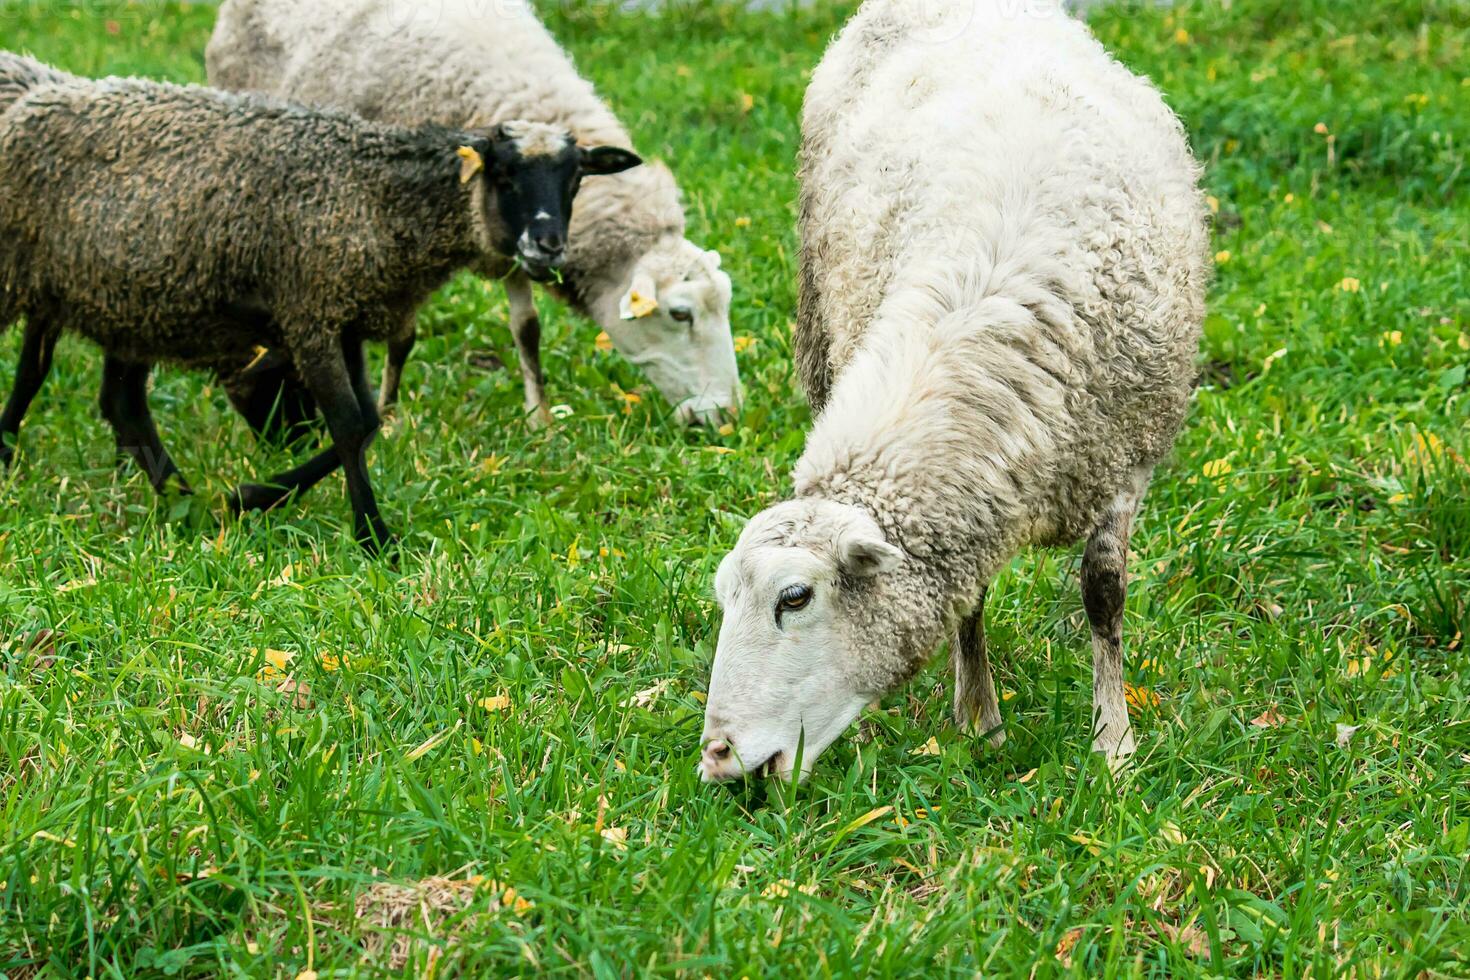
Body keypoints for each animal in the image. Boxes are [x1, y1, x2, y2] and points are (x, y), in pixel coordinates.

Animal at [204, 0, 746, 426]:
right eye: (680, 314)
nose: (726, 416)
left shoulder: (511, 245)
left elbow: (527, 330)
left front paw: (540, 421)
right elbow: (403, 334)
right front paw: (389, 416)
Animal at [696, 0, 1205, 781]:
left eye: (795, 598)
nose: (719, 758)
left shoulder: (1127, 459)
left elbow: (1104, 595)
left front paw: (1113, 745)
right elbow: (971, 598)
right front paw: (979, 721)